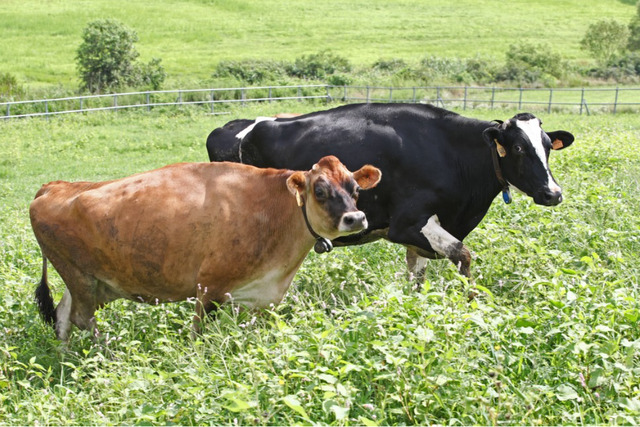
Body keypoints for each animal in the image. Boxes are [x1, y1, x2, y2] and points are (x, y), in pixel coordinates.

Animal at [31, 155, 380, 342]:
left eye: (355, 189)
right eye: (319, 191)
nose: (356, 218)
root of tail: (54, 186)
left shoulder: (259, 298)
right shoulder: (209, 287)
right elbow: (199, 334)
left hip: (89, 282)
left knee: (62, 317)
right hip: (79, 277)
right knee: (81, 318)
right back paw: (107, 356)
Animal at [206, 103, 576, 282]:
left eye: (548, 146)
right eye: (518, 148)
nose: (553, 193)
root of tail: (232, 126)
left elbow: (417, 273)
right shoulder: (407, 223)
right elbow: (462, 255)